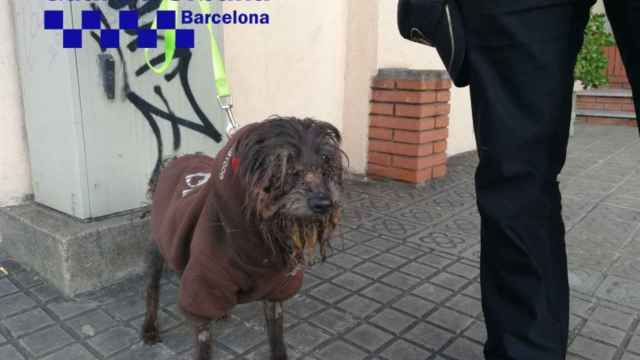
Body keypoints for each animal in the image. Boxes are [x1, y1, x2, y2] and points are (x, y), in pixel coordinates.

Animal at [141, 116, 344, 358]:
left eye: (326, 163)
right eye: (282, 164)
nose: (324, 203)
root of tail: (174, 161)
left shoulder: (276, 291)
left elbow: (277, 339)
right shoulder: (201, 291)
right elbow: (203, 344)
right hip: (157, 249)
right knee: (152, 290)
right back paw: (150, 327)